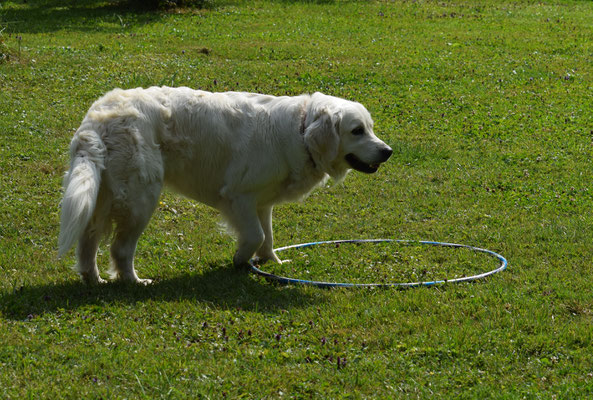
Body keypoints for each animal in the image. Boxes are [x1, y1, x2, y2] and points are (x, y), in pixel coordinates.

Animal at [59, 86, 394, 284]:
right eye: (357, 130)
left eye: (370, 128)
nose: (388, 151)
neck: (300, 131)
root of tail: (98, 119)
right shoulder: (238, 196)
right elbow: (256, 235)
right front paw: (240, 260)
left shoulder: (261, 202)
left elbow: (268, 235)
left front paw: (271, 261)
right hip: (141, 199)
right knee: (120, 248)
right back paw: (134, 281)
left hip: (103, 197)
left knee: (88, 241)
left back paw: (93, 279)